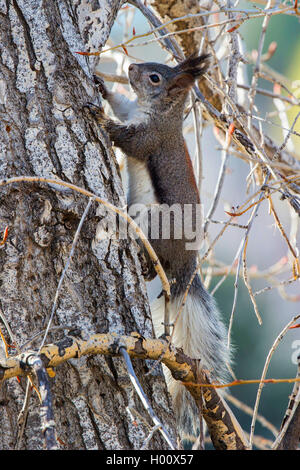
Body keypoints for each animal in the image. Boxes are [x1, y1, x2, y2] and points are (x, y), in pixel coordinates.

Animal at [90, 55, 231, 448]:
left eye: (154, 77)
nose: (131, 68)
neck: (159, 112)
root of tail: (188, 266)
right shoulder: (135, 111)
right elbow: (122, 105)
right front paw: (103, 88)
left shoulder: (151, 137)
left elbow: (130, 140)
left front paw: (99, 117)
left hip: (155, 221)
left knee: (156, 259)